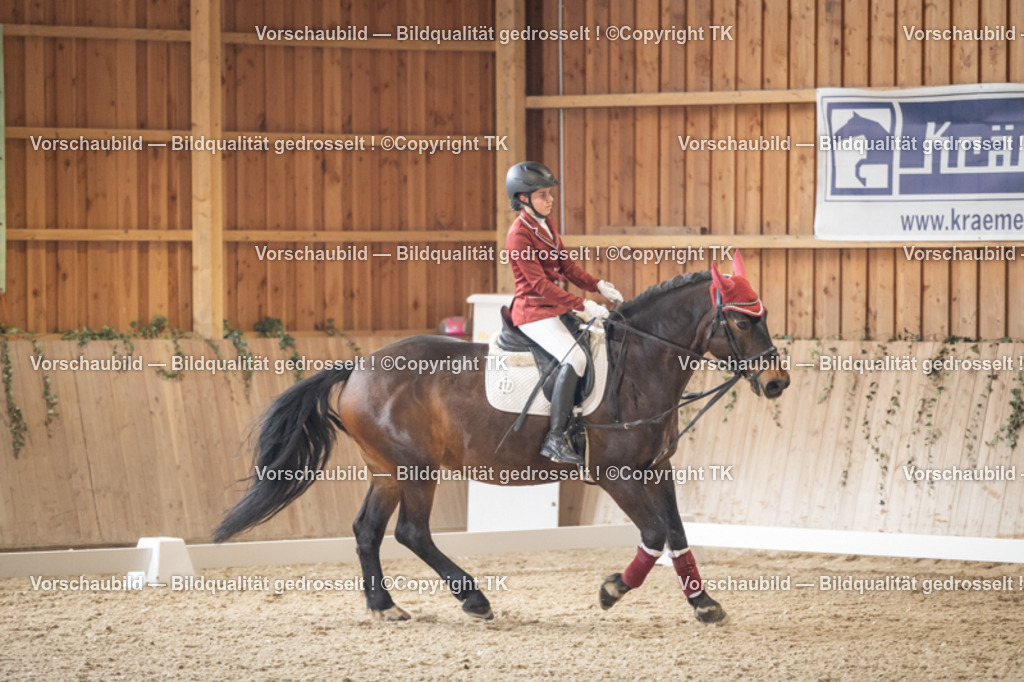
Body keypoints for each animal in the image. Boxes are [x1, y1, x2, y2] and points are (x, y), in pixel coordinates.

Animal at [213, 253, 790, 625]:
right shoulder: (616, 476)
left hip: (388, 470)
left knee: (367, 531)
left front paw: (704, 604)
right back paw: (474, 600)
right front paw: (611, 590)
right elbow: (652, 533)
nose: (777, 382)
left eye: (764, 316)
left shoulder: (656, 469)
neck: (641, 364)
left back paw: (386, 606)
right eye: (741, 322)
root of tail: (358, 366)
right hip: (416, 470)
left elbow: (676, 534)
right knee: (412, 533)